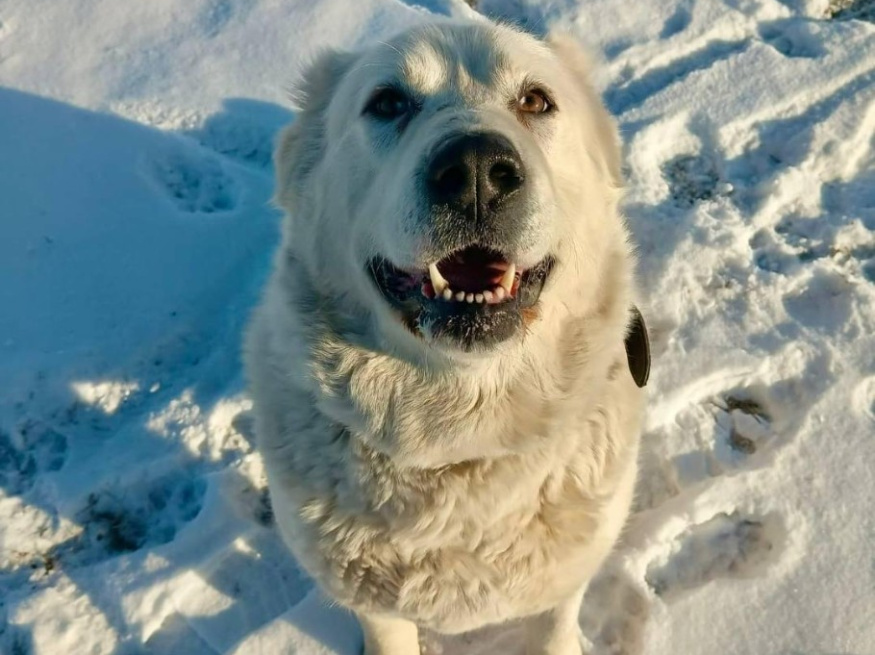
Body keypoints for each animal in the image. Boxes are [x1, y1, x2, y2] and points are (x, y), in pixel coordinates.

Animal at [246, 16, 652, 655]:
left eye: (535, 101)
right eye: (388, 102)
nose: (478, 171)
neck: (462, 432)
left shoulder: (562, 584)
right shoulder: (377, 608)